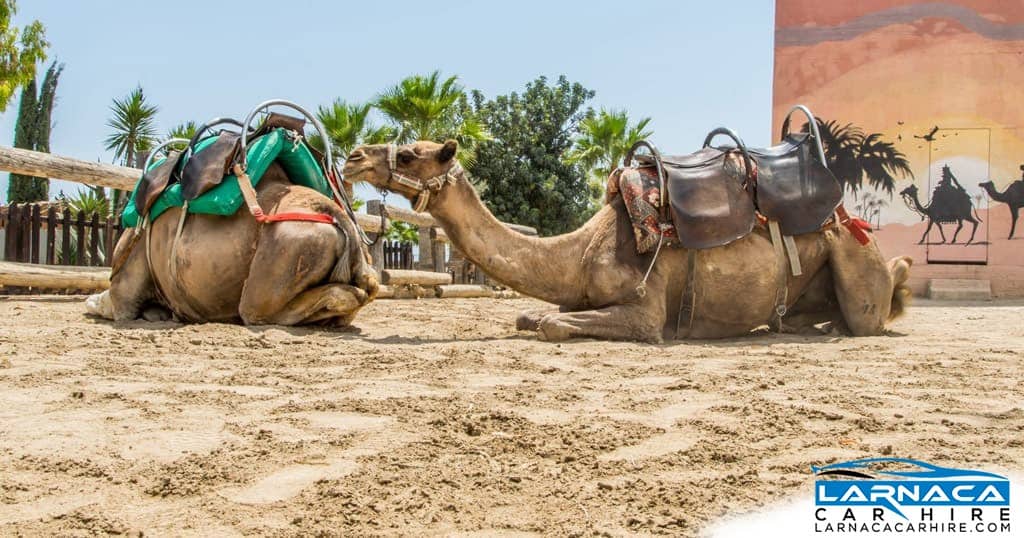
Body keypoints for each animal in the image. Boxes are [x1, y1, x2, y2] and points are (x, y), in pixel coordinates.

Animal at [344, 140, 913, 342]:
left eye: (412, 153)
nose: (354, 156)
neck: (577, 252)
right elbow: (530, 314)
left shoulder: (646, 311)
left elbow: (550, 324)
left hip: (853, 254)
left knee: (871, 314)